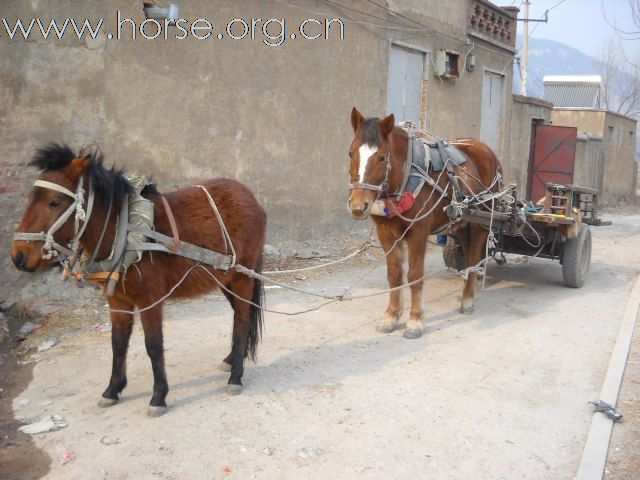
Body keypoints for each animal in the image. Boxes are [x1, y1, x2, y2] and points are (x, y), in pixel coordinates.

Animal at [10, 143, 264, 416]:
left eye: (54, 203)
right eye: (30, 199)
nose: (18, 256)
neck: (124, 230)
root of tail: (249, 196)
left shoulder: (149, 301)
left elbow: (153, 346)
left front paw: (158, 396)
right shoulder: (117, 301)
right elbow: (118, 344)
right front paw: (112, 390)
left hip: (242, 277)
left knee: (242, 320)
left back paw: (236, 376)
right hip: (226, 279)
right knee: (240, 317)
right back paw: (232, 360)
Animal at [348, 108, 502, 338]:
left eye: (382, 157)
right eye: (351, 153)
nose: (358, 205)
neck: (405, 176)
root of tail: (486, 150)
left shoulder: (418, 233)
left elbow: (414, 275)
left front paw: (415, 320)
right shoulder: (386, 233)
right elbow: (394, 274)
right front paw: (391, 316)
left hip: (480, 221)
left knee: (475, 255)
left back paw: (468, 299)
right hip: (462, 221)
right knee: (468, 253)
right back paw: (469, 290)